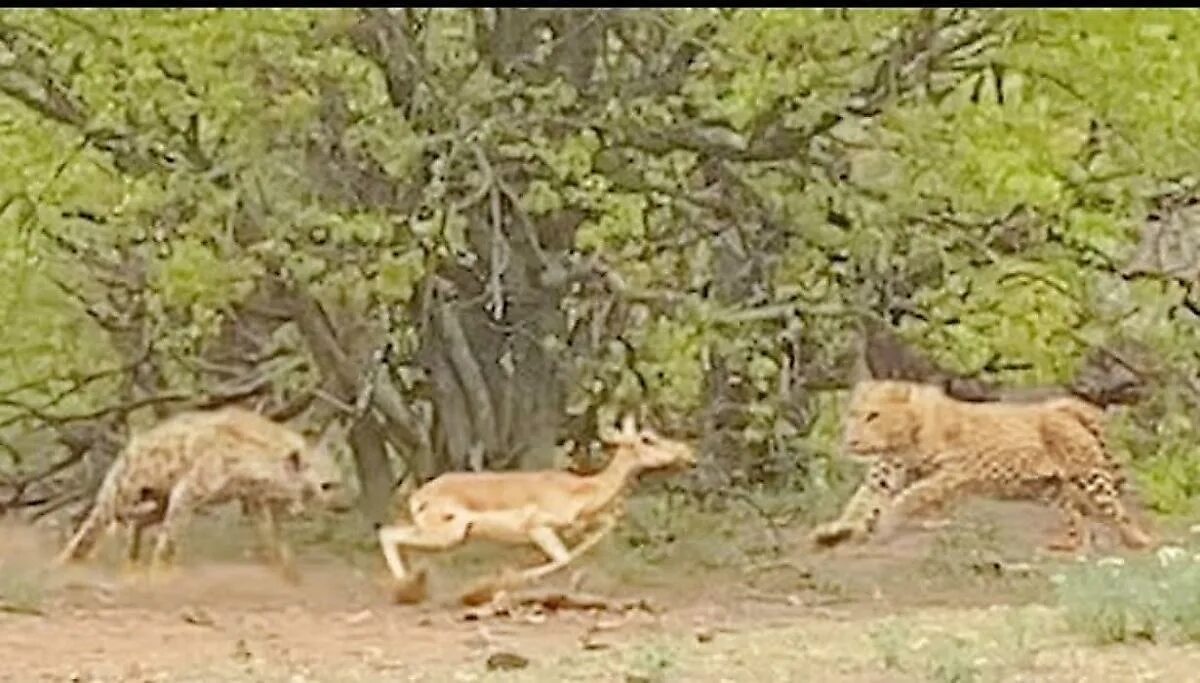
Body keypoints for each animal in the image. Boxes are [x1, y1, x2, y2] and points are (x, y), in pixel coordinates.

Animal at [55, 408, 350, 578]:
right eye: (326, 486)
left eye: (339, 481)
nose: (344, 505)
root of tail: (126, 451)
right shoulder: (190, 489)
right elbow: (171, 538)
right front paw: (163, 573)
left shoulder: (252, 497)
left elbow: (269, 535)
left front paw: (286, 572)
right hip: (124, 491)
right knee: (95, 527)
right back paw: (69, 564)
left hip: (155, 501)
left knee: (139, 522)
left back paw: (131, 564)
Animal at [806, 379, 1152, 554]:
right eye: (853, 414)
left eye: (873, 415)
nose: (851, 441)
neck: (905, 436)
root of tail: (1063, 407)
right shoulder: (885, 476)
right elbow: (860, 503)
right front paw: (835, 531)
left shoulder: (952, 473)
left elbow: (910, 496)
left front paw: (886, 521)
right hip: (1051, 487)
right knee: (1077, 519)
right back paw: (1067, 544)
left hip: (1088, 476)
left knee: (1116, 510)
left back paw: (1139, 541)